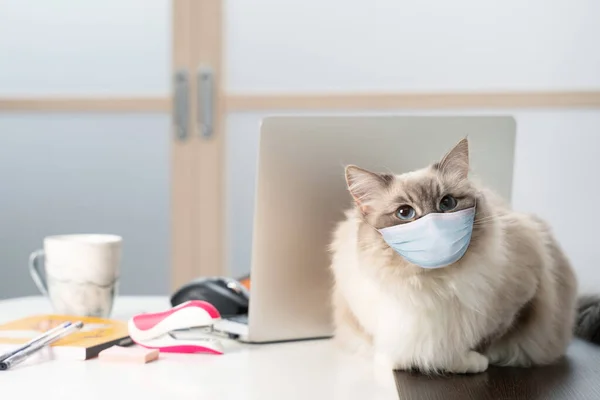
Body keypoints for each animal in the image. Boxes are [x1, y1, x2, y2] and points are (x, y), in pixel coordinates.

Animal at [328, 138, 600, 376]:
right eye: (405, 213)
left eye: (447, 203)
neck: (432, 286)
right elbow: (385, 346)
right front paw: (398, 362)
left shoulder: (520, 302)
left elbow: (482, 342)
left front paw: (466, 363)